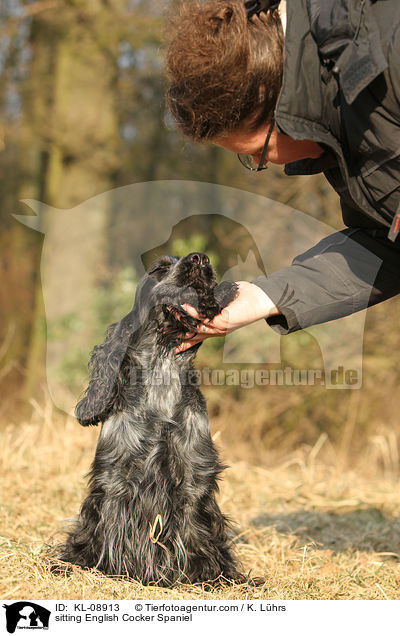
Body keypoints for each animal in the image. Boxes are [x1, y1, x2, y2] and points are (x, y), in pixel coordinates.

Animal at [59, 251, 241, 584]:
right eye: (159, 268)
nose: (199, 258)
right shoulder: (115, 480)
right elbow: (113, 529)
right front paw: (114, 571)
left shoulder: (194, 478)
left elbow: (195, 532)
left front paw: (205, 576)